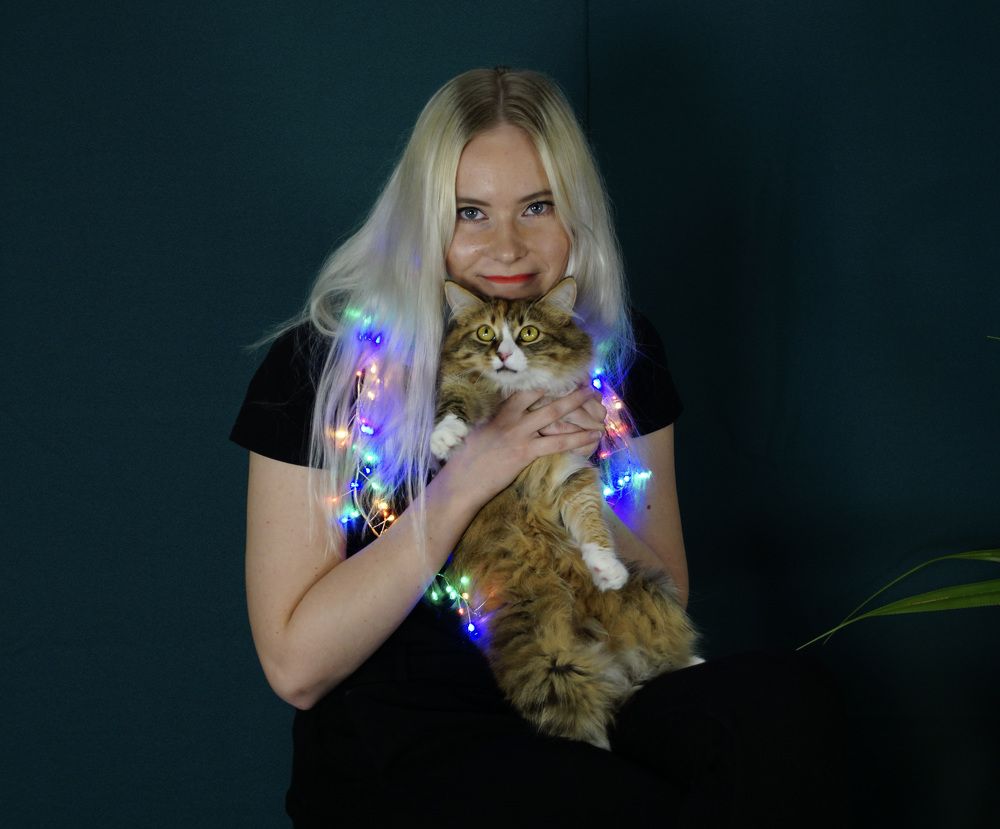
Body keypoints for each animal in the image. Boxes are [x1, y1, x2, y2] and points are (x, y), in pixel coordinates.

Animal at [429, 277, 700, 749]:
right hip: (546, 656)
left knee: (665, 654)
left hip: (651, 595)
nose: (503, 355)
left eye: (528, 334)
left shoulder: (571, 474)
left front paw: (606, 568)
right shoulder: (464, 387)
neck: (519, 397)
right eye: (485, 333)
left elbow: (592, 523)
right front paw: (445, 438)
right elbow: (456, 402)